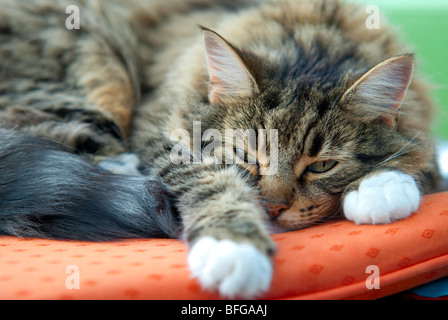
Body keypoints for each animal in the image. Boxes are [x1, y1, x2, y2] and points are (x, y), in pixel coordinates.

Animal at [0, 0, 440, 298]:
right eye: (245, 156)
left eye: (322, 166)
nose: (272, 208)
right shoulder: (165, 136)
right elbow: (210, 183)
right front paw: (233, 247)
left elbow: (422, 159)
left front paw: (382, 188)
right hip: (90, 67)